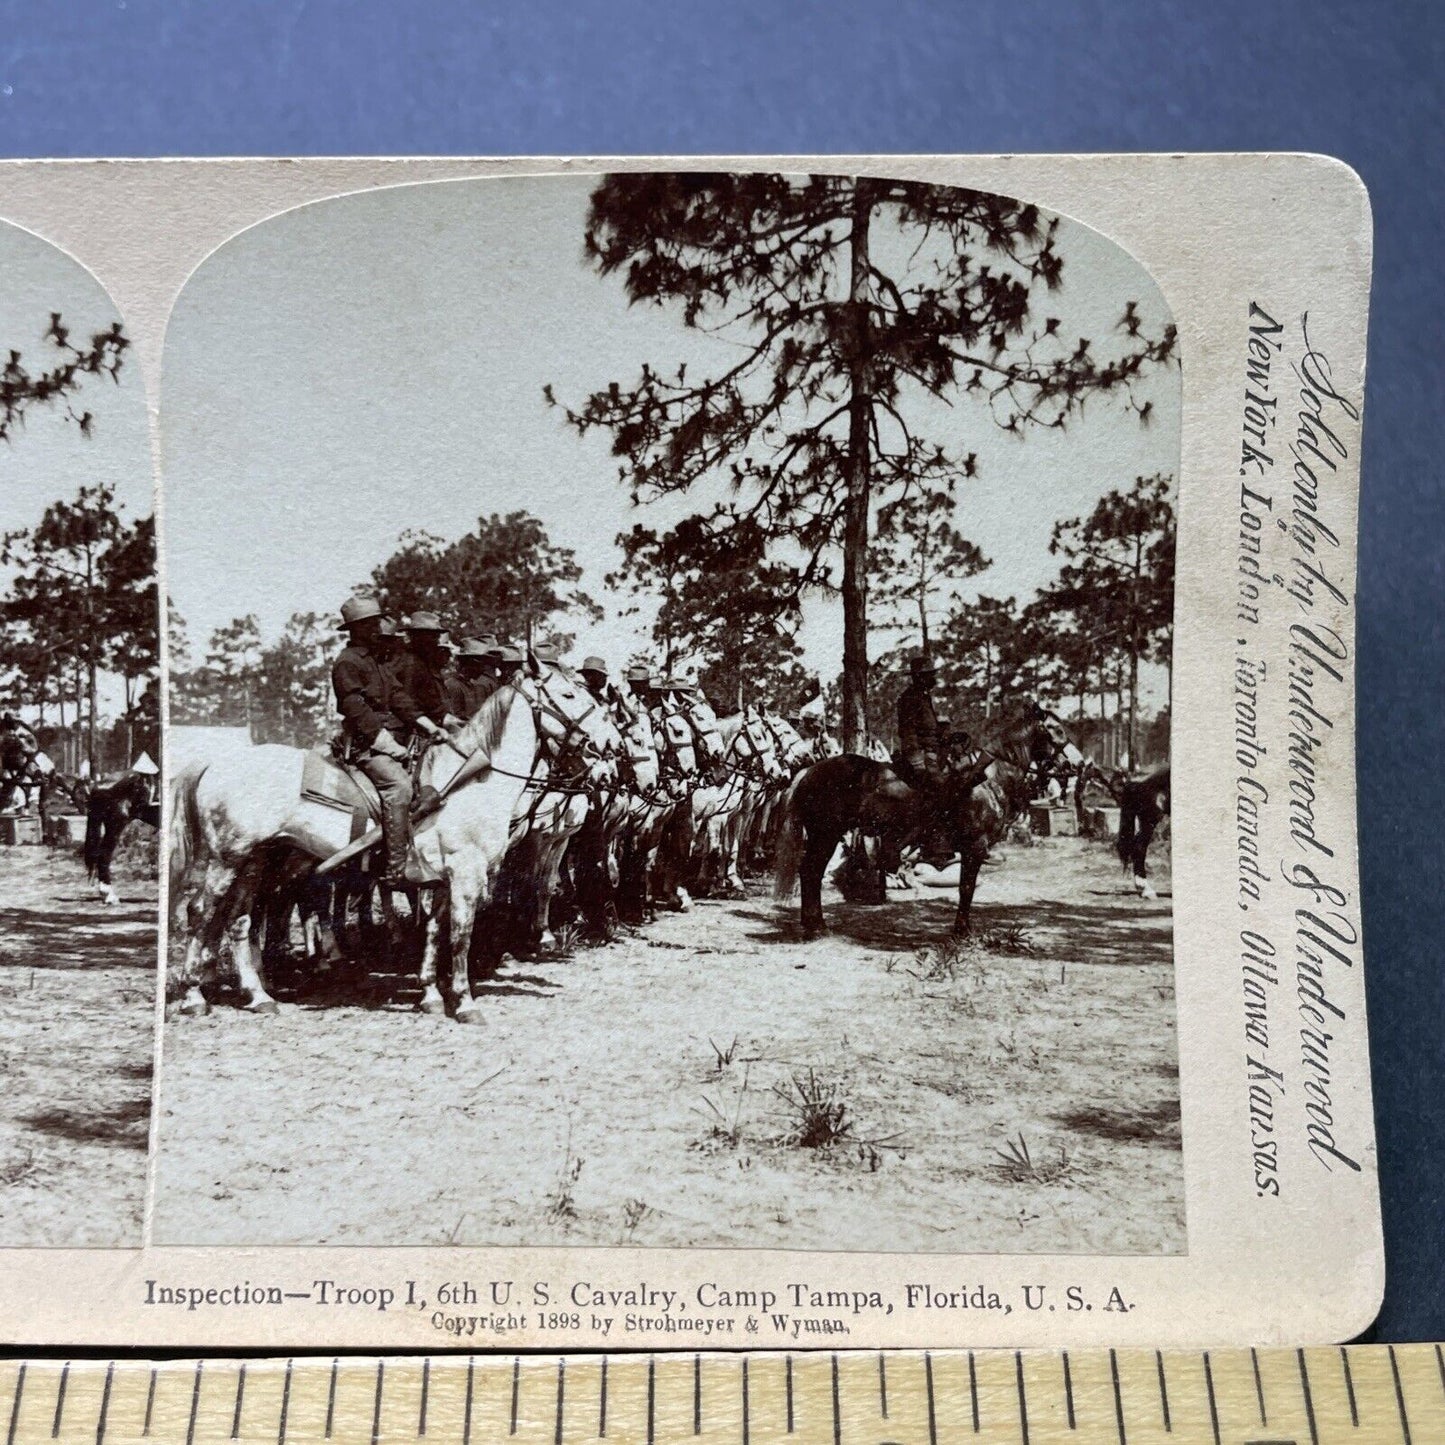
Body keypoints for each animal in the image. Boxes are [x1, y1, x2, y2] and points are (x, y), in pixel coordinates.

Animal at [774, 708, 1057, 936]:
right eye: (1055, 731)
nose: (1066, 766)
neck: (988, 780)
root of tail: (808, 772)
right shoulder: (975, 847)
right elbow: (966, 889)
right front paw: (962, 931)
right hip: (826, 834)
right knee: (811, 872)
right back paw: (816, 926)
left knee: (810, 872)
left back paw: (814, 924)